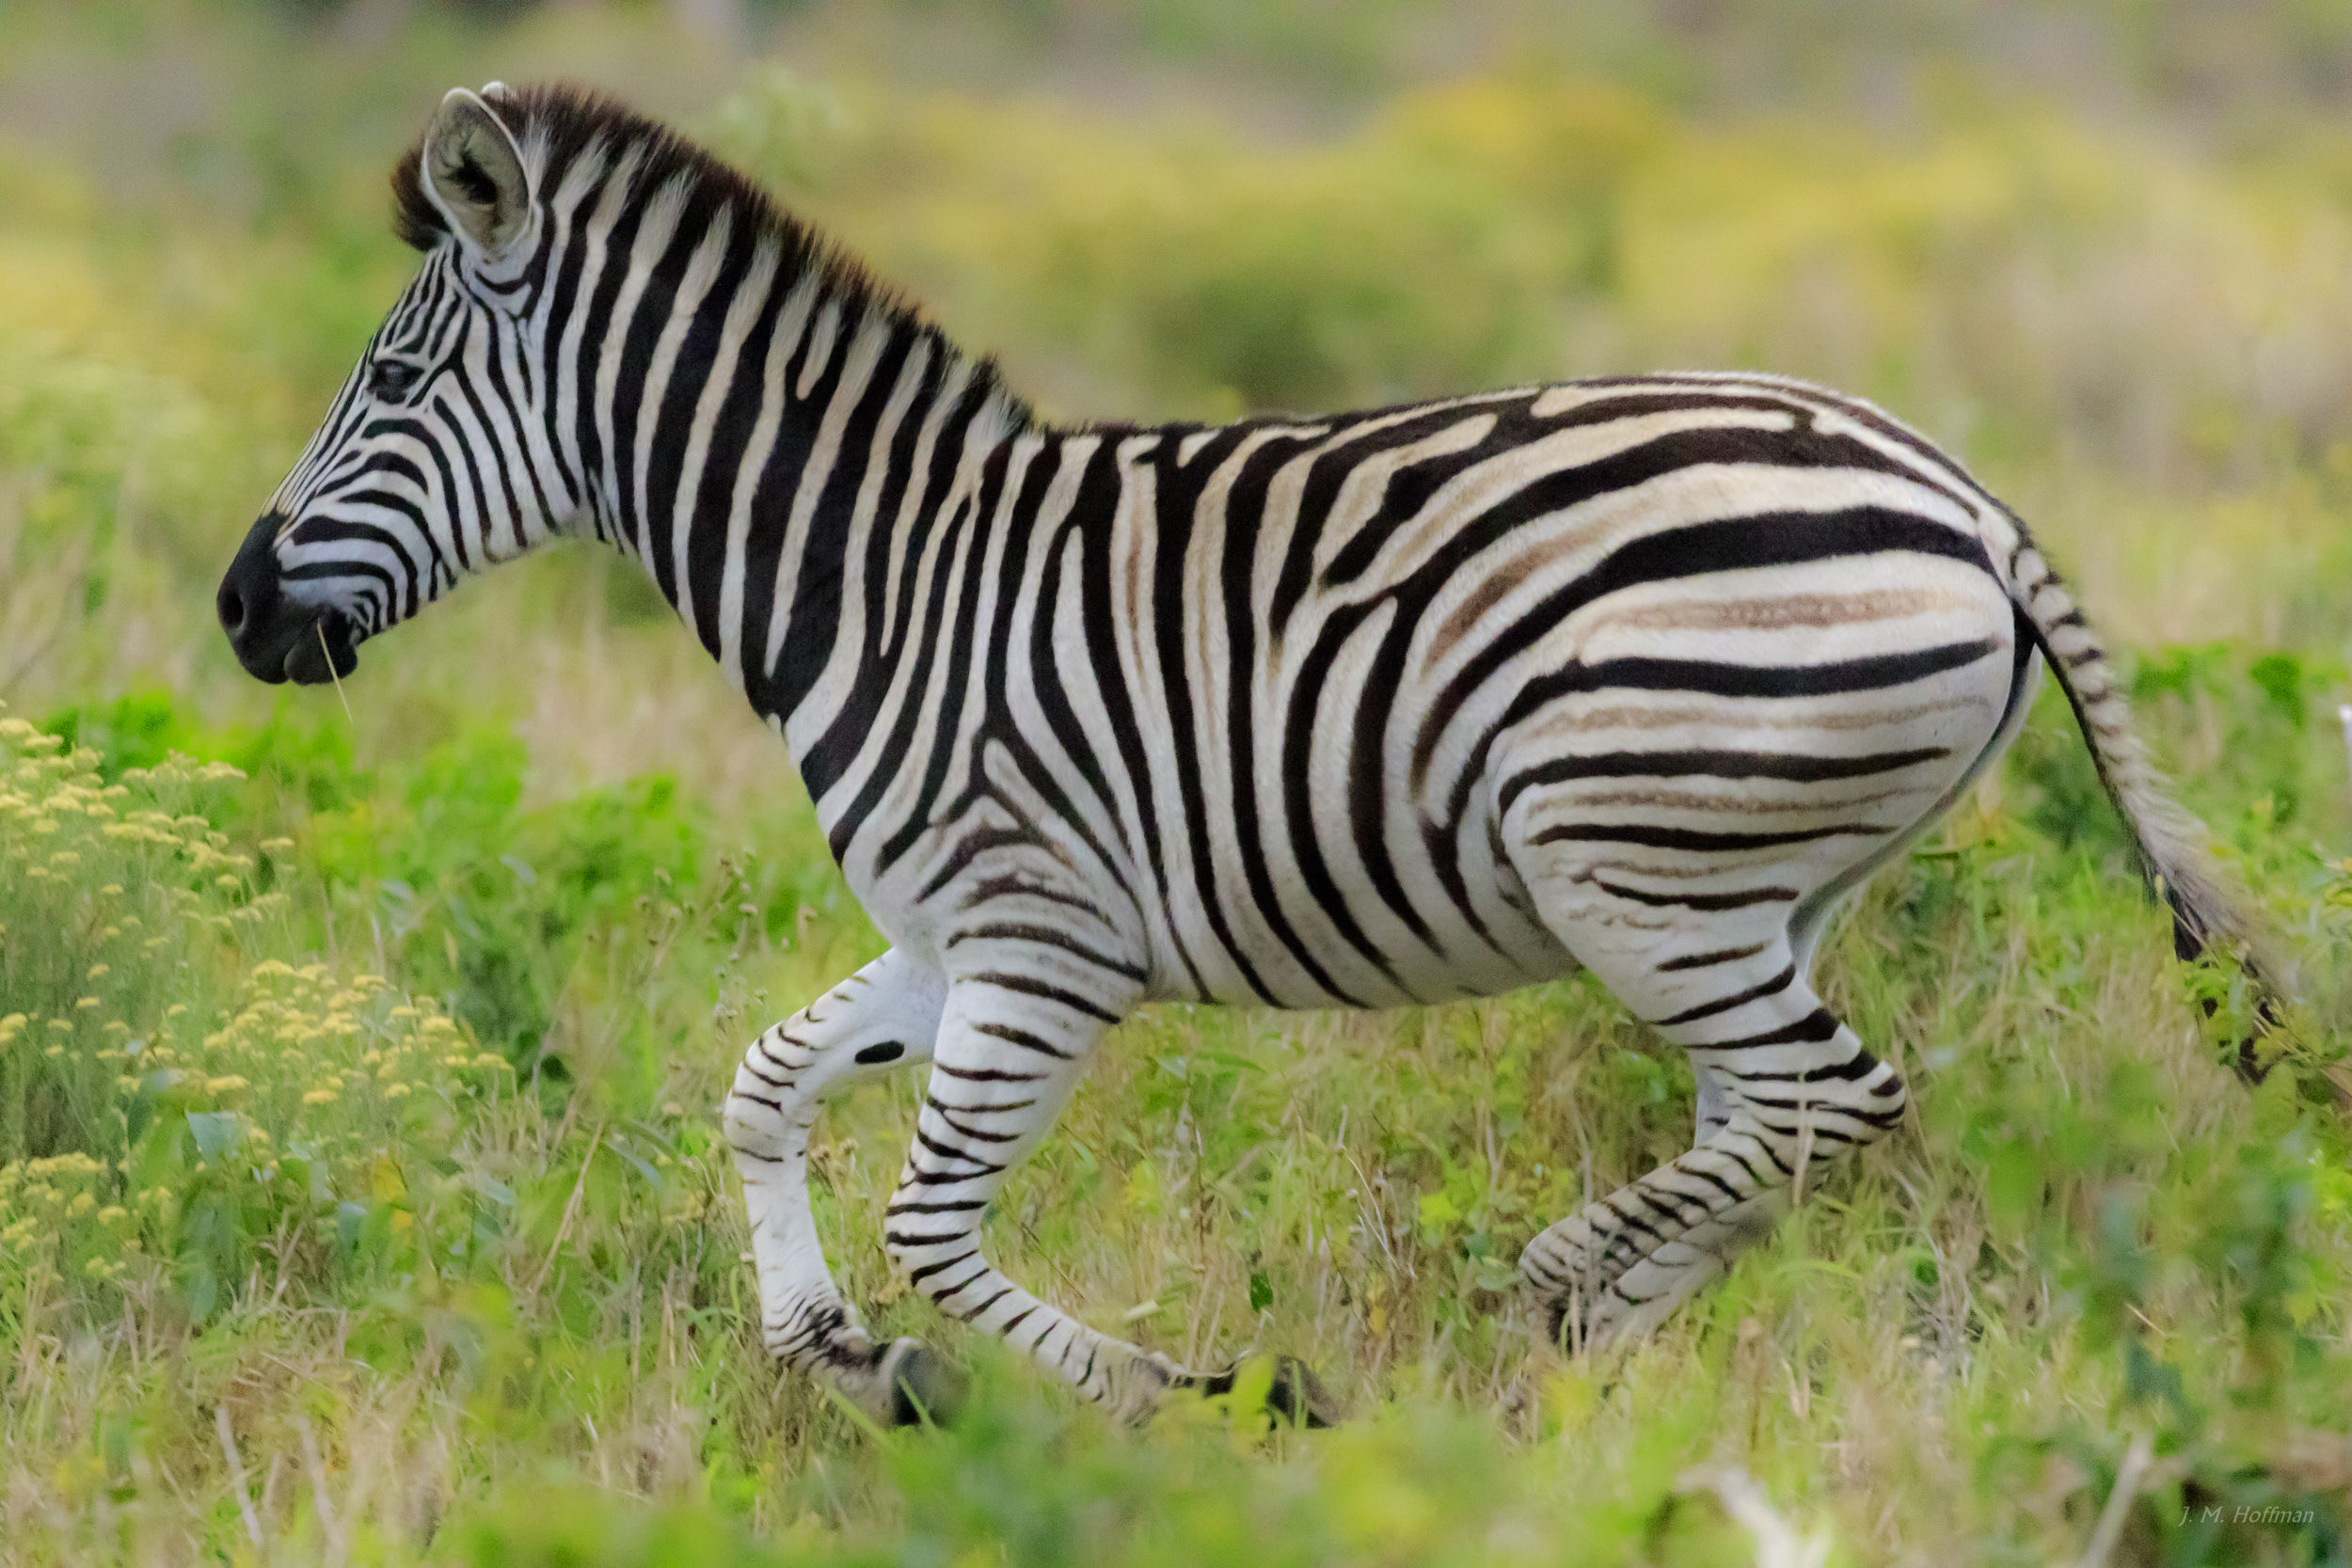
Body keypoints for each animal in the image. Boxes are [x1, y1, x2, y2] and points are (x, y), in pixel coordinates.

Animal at [216, 83, 2279, 1427]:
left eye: (389, 386)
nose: (237, 612)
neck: (881, 573)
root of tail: (1961, 494)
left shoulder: (1041, 946)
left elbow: (933, 1224)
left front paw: (1185, 1388)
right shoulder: (952, 936)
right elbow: (760, 1086)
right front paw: (832, 1346)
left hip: (1629, 863)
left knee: (1828, 1101)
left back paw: (1553, 1295)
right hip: (1751, 887)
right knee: (1765, 1121)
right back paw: (1585, 1341)